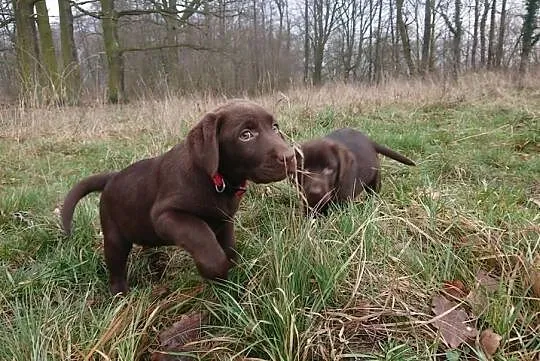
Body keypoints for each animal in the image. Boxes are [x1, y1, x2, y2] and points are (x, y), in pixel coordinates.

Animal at [61, 100, 296, 294]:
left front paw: (234, 277)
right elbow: (200, 234)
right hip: (114, 235)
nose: (290, 156)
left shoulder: (225, 218)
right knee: (116, 267)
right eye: (246, 135)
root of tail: (112, 177)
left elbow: (229, 247)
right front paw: (216, 271)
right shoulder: (165, 215)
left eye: (275, 127)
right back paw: (120, 295)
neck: (216, 181)